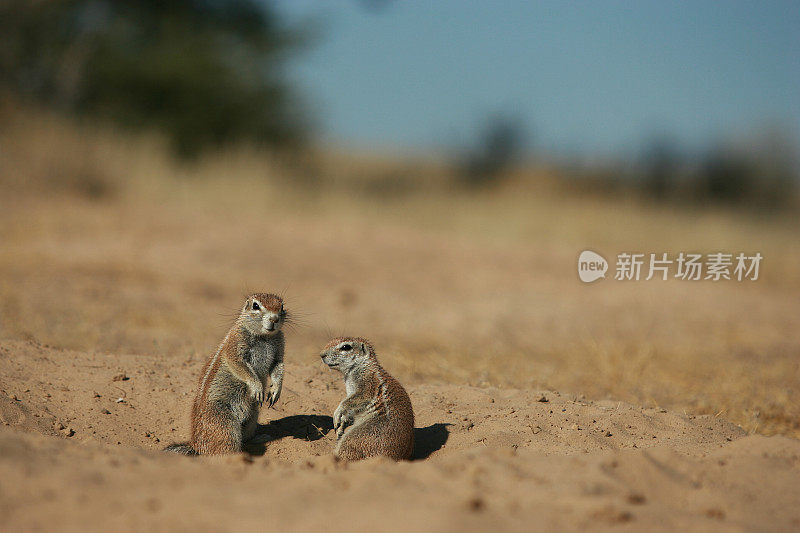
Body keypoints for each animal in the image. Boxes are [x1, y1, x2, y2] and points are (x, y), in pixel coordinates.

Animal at [166, 294, 288, 456]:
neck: (264, 337)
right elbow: (239, 366)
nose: (274, 319)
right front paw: (257, 387)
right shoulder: (235, 345)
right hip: (225, 426)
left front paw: (275, 390)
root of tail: (195, 445)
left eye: (281, 306)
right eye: (256, 306)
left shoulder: (279, 347)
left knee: (246, 438)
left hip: (253, 416)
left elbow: (278, 367)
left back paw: (260, 437)